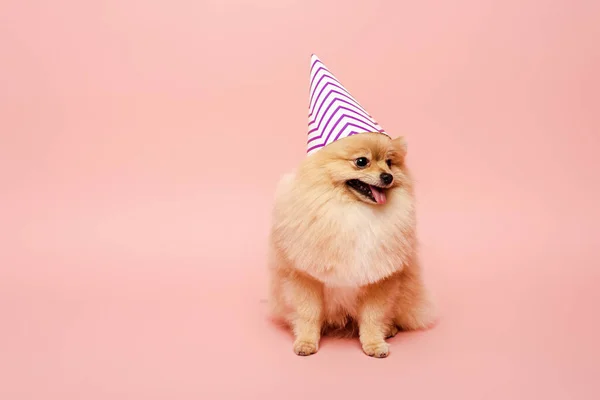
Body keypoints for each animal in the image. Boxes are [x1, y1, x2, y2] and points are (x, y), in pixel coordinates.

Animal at [268, 132, 436, 360]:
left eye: (390, 163)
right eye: (361, 162)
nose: (388, 177)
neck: (353, 210)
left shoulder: (379, 279)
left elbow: (373, 317)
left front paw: (374, 343)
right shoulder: (305, 277)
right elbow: (308, 314)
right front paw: (306, 342)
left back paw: (390, 329)